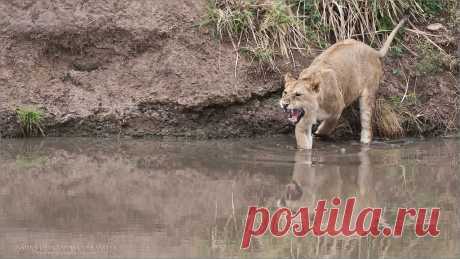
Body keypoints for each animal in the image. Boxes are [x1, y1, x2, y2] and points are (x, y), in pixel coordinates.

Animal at [280, 18, 406, 149]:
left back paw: (365, 142)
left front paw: (319, 132)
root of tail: (372, 50)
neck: (314, 107)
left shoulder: (338, 107)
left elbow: (329, 124)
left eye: (298, 94)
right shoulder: (303, 122)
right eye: (285, 92)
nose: (284, 104)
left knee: (367, 125)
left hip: (368, 95)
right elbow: (304, 144)